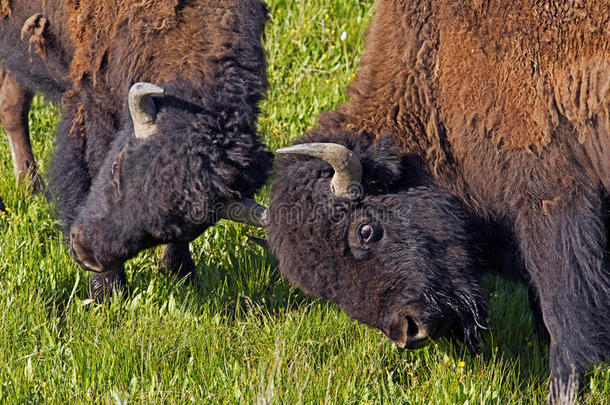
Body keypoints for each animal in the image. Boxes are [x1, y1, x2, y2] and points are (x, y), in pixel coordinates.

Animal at [0, 0, 268, 300]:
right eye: (116, 168)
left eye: (170, 227)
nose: (85, 254)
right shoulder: (95, 107)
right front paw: (107, 292)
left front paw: (180, 275)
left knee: (11, 105)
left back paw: (31, 189)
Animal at [248, 1, 608, 402]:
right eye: (324, 285)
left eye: (365, 231)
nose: (408, 330)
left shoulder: (551, 201)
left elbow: (560, 313)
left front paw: (563, 389)